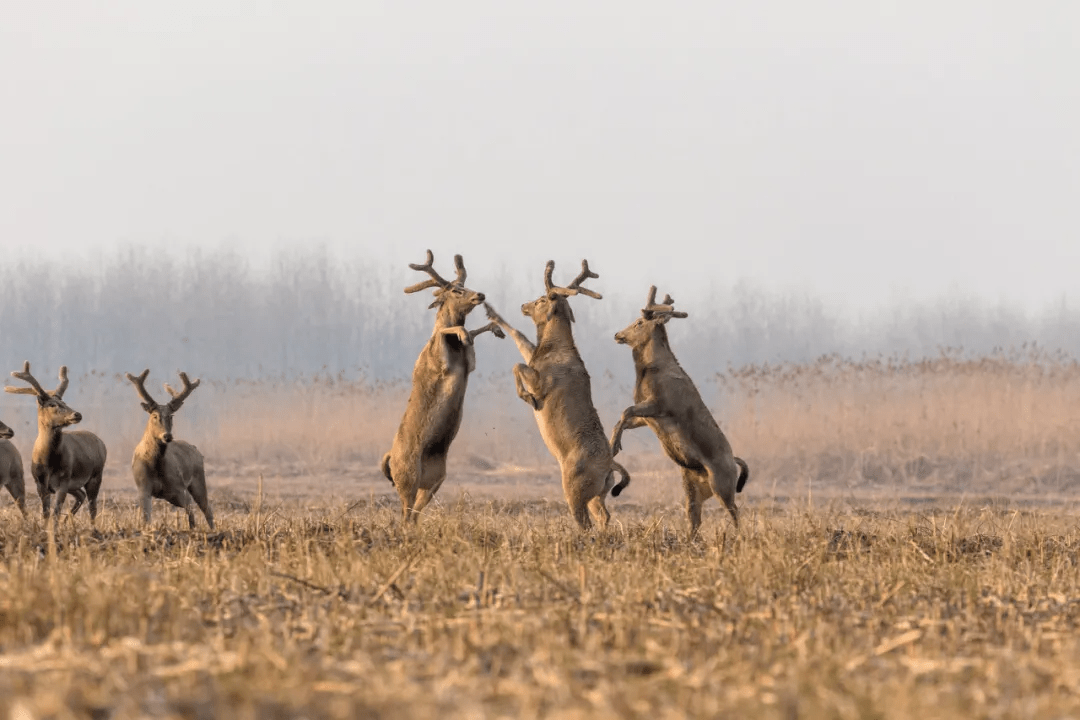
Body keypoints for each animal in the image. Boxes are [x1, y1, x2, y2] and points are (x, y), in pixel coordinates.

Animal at [4, 362, 107, 526]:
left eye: (64, 402)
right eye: (52, 404)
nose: (77, 414)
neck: (49, 462)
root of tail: (102, 443)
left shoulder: (63, 481)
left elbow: (56, 513)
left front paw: (55, 528)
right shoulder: (40, 484)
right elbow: (46, 513)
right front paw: (46, 528)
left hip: (96, 475)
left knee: (92, 506)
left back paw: (91, 527)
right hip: (76, 484)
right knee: (81, 495)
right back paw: (68, 521)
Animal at [124, 371, 212, 528]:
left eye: (171, 416)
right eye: (154, 415)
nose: (167, 436)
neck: (156, 466)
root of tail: (196, 450)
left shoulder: (178, 487)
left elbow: (191, 514)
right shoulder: (143, 488)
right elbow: (146, 518)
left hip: (198, 479)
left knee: (207, 509)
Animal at [382, 250, 503, 520]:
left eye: (466, 285)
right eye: (456, 290)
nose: (480, 295)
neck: (456, 354)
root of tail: (389, 460)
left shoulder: (470, 364)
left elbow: (471, 336)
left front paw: (496, 328)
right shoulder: (439, 361)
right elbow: (444, 332)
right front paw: (463, 333)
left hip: (435, 481)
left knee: (414, 515)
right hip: (407, 476)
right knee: (405, 514)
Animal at [483, 259, 630, 528]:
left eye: (543, 298)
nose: (524, 305)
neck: (553, 349)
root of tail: (609, 466)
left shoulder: (544, 382)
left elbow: (517, 365)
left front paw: (527, 397)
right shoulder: (532, 357)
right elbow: (519, 337)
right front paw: (490, 311)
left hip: (574, 486)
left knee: (584, 521)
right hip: (598, 494)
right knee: (603, 515)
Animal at [609, 287, 751, 535]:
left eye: (639, 322)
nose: (618, 334)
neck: (649, 371)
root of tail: (733, 461)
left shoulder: (662, 404)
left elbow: (626, 411)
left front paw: (615, 446)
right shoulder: (647, 416)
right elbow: (624, 417)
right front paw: (612, 443)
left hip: (722, 483)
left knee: (734, 511)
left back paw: (739, 535)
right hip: (692, 487)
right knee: (694, 519)